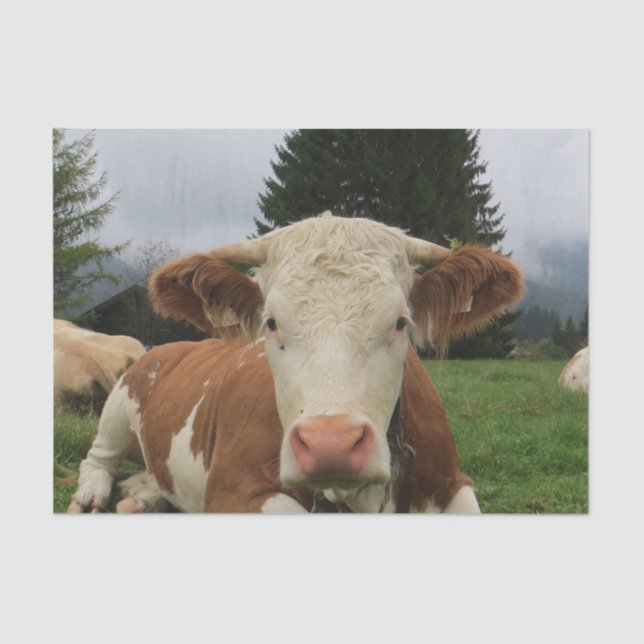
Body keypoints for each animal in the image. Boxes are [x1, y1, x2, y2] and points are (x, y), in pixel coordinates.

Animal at [67, 212, 524, 513]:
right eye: (271, 322)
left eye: (400, 322)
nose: (330, 444)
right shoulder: (233, 493)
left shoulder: (454, 484)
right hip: (118, 407)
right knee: (97, 460)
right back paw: (91, 497)